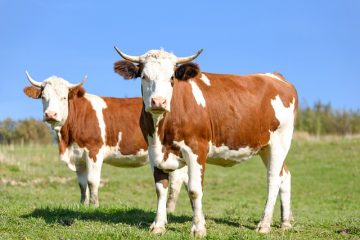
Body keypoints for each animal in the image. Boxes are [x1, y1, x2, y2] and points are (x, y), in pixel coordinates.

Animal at [23, 71, 188, 208]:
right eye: (43, 97)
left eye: (64, 97)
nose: (50, 114)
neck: (67, 139)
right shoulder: (78, 157)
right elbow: (82, 184)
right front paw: (83, 205)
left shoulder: (94, 151)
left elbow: (92, 181)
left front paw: (94, 206)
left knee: (177, 181)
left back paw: (170, 208)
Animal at [114, 47, 296, 237]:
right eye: (144, 76)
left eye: (171, 78)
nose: (158, 102)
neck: (161, 130)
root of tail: (275, 76)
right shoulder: (153, 151)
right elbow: (160, 189)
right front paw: (158, 225)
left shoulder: (197, 148)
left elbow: (194, 190)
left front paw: (198, 228)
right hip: (264, 147)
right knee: (285, 175)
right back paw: (285, 222)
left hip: (280, 142)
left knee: (273, 179)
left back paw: (264, 224)